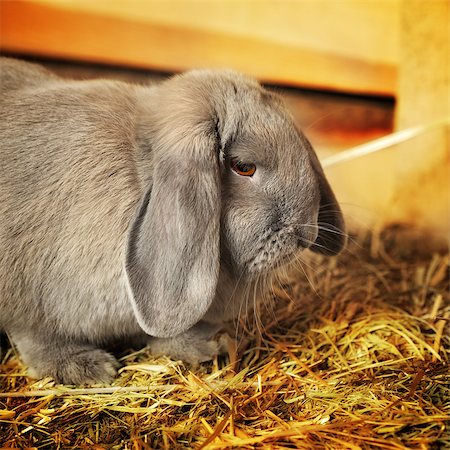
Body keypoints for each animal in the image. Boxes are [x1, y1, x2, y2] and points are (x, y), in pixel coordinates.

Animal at [0, 57, 346, 384]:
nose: (305, 233)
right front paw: (86, 369)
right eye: (243, 166)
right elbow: (37, 337)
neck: (140, 174)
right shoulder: (29, 300)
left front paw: (208, 344)